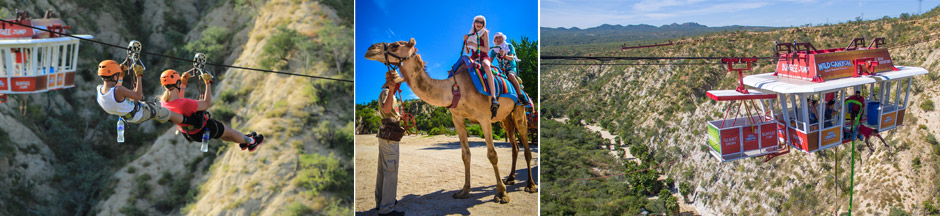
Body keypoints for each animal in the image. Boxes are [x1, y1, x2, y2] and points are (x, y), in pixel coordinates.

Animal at [364, 38, 532, 203]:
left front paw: (502, 194)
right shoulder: (457, 118)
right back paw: (510, 178)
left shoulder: (484, 117)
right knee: (515, 146)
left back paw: (530, 185)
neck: (456, 88)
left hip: (519, 112)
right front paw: (464, 191)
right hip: (505, 119)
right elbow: (465, 154)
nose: (370, 49)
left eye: (395, 45)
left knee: (525, 146)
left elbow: (492, 154)